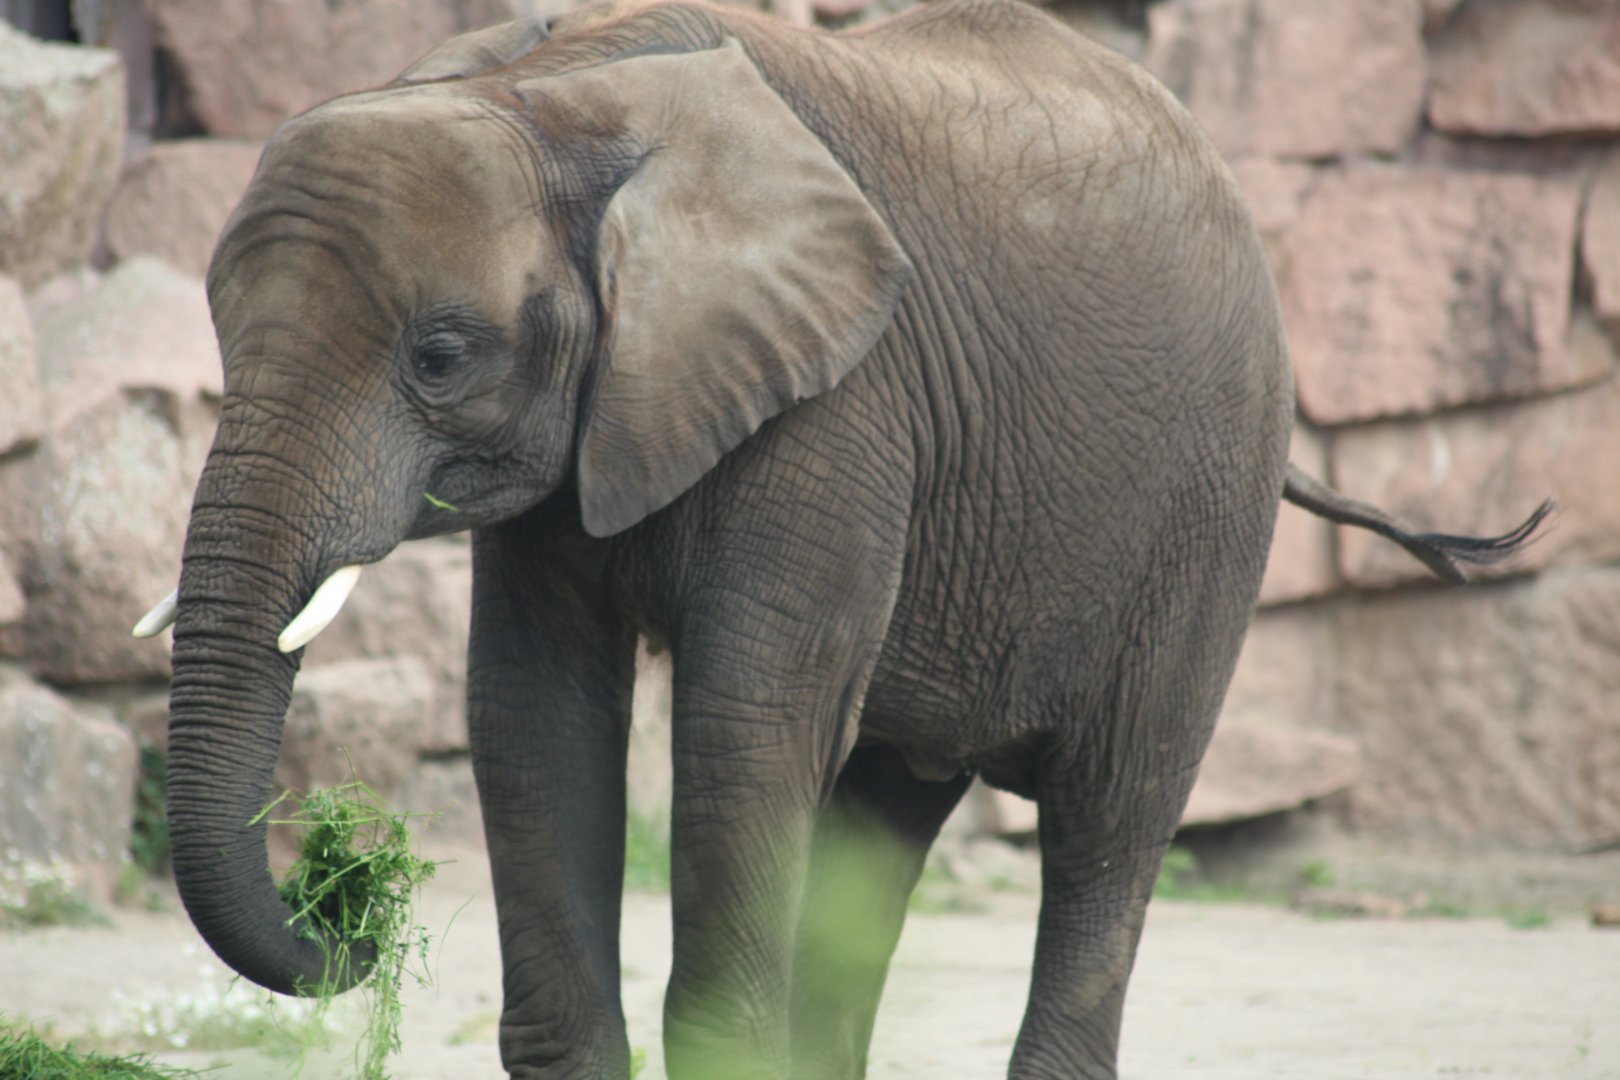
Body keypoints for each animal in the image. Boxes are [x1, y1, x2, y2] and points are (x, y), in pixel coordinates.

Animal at [133, 2, 1549, 1077]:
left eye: (439, 356)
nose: (352, 914)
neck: (556, 92)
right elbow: (534, 713)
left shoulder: (840, 403)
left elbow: (747, 721)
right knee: (887, 813)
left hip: (1208, 507)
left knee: (1112, 817)